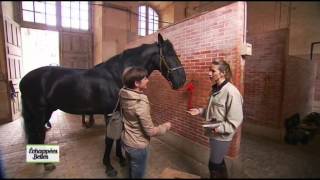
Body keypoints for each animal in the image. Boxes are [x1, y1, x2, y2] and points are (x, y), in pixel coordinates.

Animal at [20, 33, 186, 176]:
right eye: (169, 54)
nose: (182, 80)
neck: (117, 75)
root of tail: (24, 79)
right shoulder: (109, 114)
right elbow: (109, 139)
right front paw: (109, 167)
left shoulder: (119, 112)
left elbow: (119, 137)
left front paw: (121, 159)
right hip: (39, 112)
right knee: (39, 133)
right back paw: (46, 164)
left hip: (46, 111)